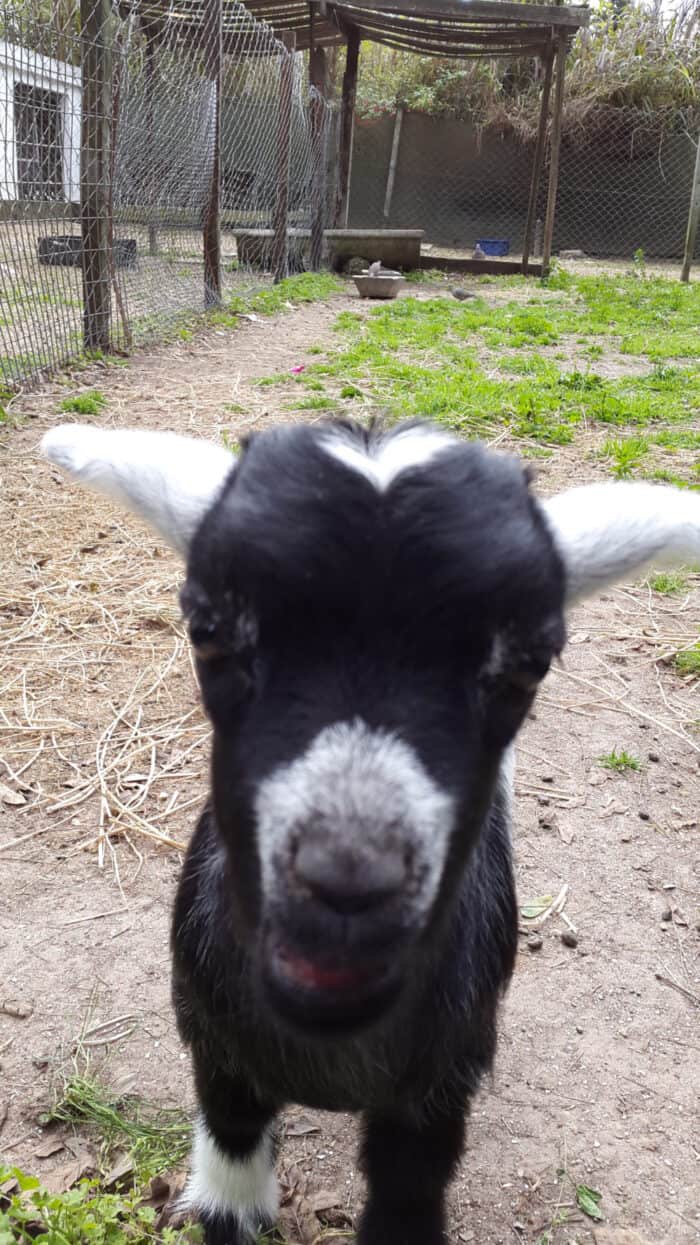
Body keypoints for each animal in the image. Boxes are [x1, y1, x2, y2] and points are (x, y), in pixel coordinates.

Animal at [43, 419, 700, 1245]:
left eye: (530, 665)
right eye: (206, 630)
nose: (346, 884)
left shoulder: (437, 1088)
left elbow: (406, 1200)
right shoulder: (213, 1047)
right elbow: (231, 1172)